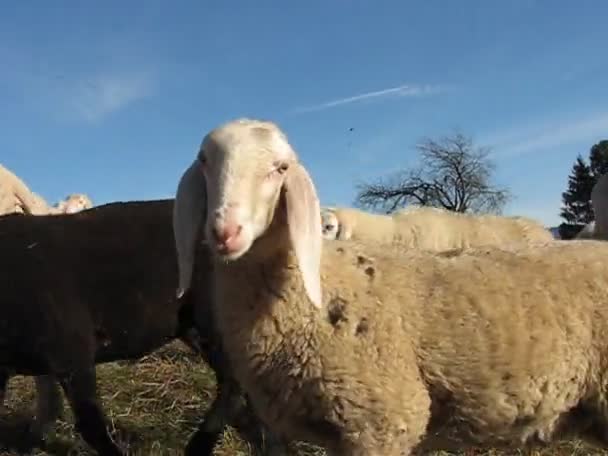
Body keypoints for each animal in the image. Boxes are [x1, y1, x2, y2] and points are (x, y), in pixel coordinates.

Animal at [0, 200, 280, 456]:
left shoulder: (72, 350)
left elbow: (91, 423)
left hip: (215, 315)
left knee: (235, 381)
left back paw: (200, 447)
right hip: (195, 326)